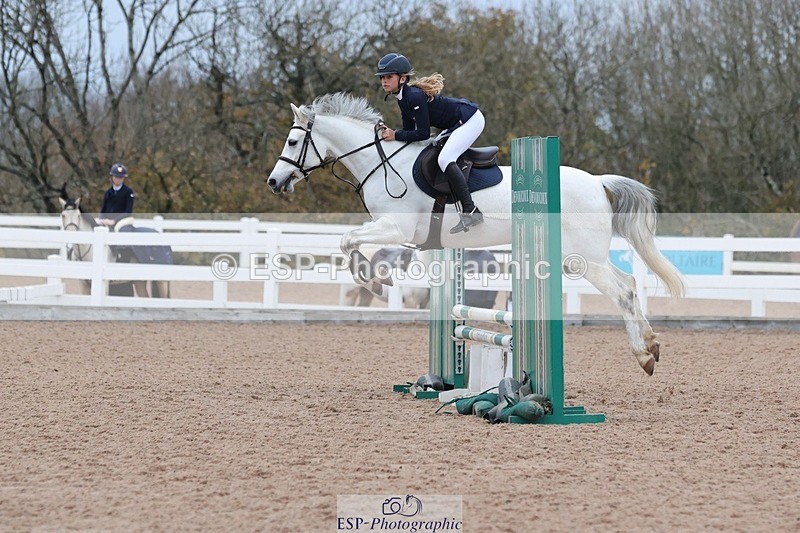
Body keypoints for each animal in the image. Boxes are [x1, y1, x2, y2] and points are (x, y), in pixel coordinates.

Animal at [267, 92, 685, 375]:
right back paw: (651, 345)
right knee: (629, 283)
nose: (274, 182)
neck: (380, 161)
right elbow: (351, 243)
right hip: (580, 258)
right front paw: (375, 280)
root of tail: (599, 183)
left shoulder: (394, 227)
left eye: (292, 141)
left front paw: (373, 281)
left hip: (581, 258)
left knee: (623, 291)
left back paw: (644, 355)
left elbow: (348, 240)